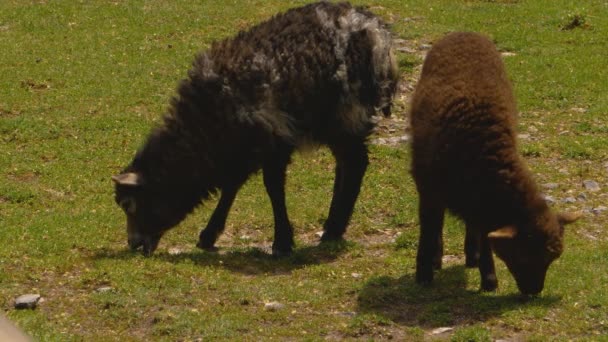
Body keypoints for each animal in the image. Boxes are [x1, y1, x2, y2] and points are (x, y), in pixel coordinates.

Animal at [408, 31, 580, 294]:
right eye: (523, 255)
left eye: (550, 259)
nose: (534, 291)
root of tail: (464, 31)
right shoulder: (428, 188)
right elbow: (428, 229)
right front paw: (424, 273)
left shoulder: (480, 201)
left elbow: (484, 233)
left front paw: (488, 277)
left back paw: (472, 256)